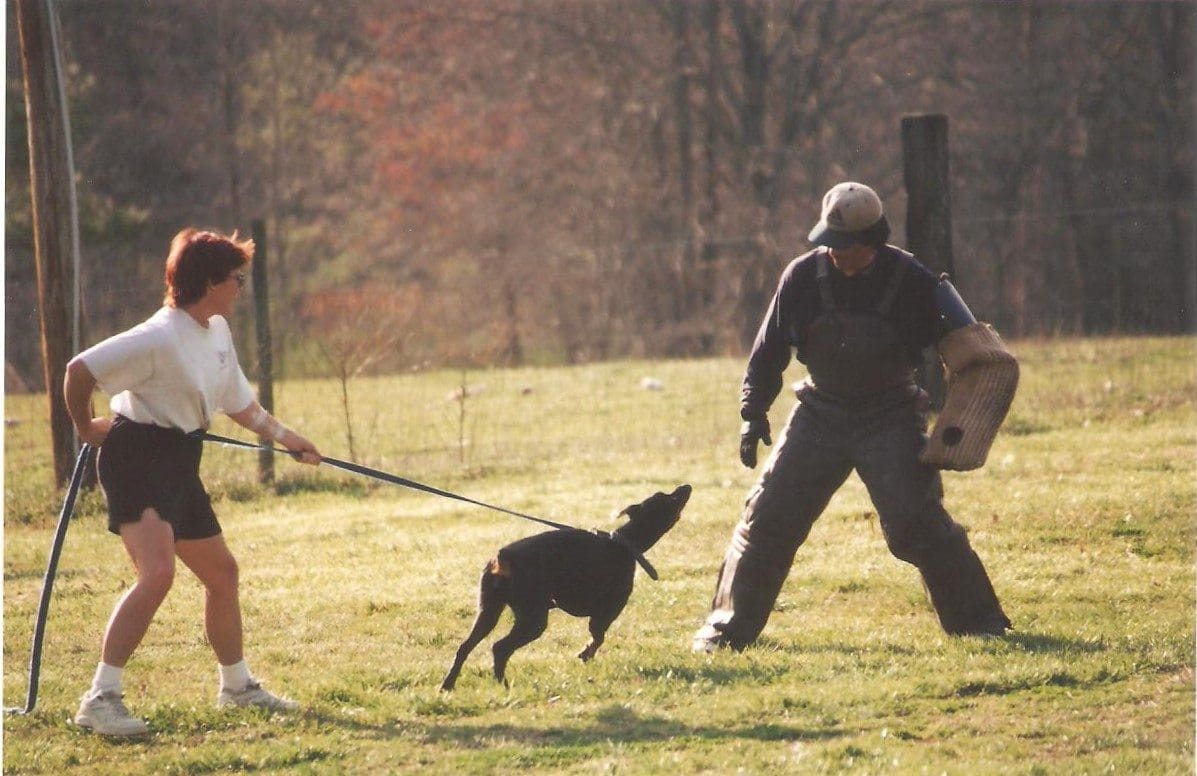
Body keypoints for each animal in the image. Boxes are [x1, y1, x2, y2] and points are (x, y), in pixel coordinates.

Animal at [440, 483, 689, 689]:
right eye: (668, 499)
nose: (686, 486)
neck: (625, 544)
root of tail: (502, 558)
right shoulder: (605, 612)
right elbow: (598, 638)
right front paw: (585, 654)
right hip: (533, 618)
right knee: (499, 648)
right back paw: (504, 685)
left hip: (488, 611)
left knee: (465, 646)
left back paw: (449, 685)